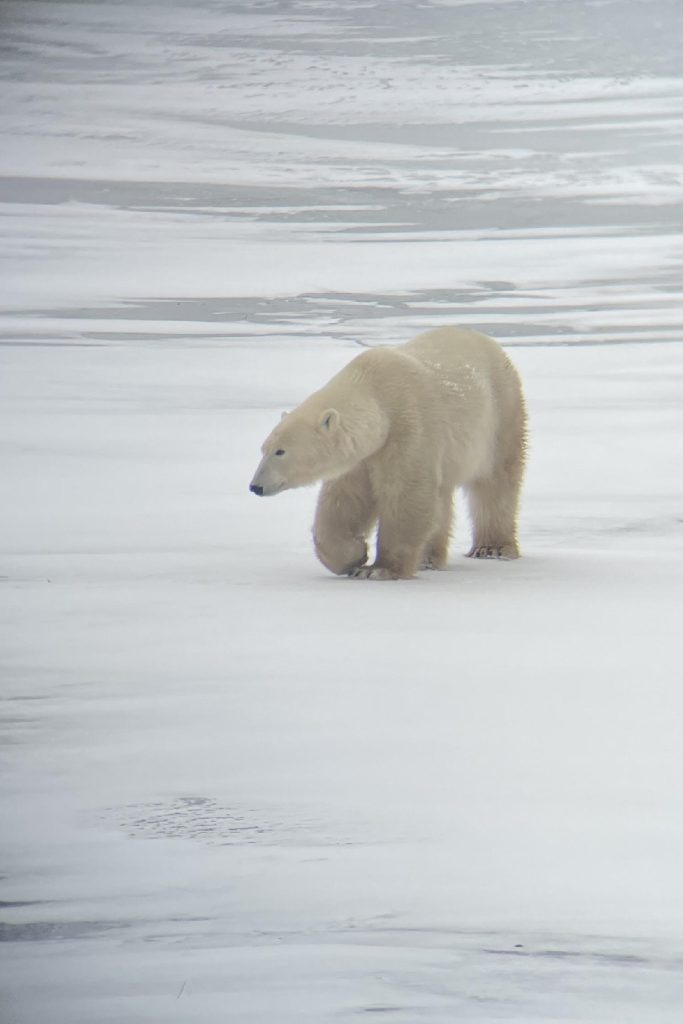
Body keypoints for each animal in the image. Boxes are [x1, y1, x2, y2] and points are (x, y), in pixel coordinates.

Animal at [249, 326, 527, 580]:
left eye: (280, 451)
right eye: (263, 449)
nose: (255, 486)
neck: (377, 394)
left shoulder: (408, 428)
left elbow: (405, 495)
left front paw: (379, 569)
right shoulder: (361, 456)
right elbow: (344, 501)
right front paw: (353, 556)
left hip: (500, 414)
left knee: (495, 484)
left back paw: (491, 548)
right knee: (442, 495)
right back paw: (428, 558)